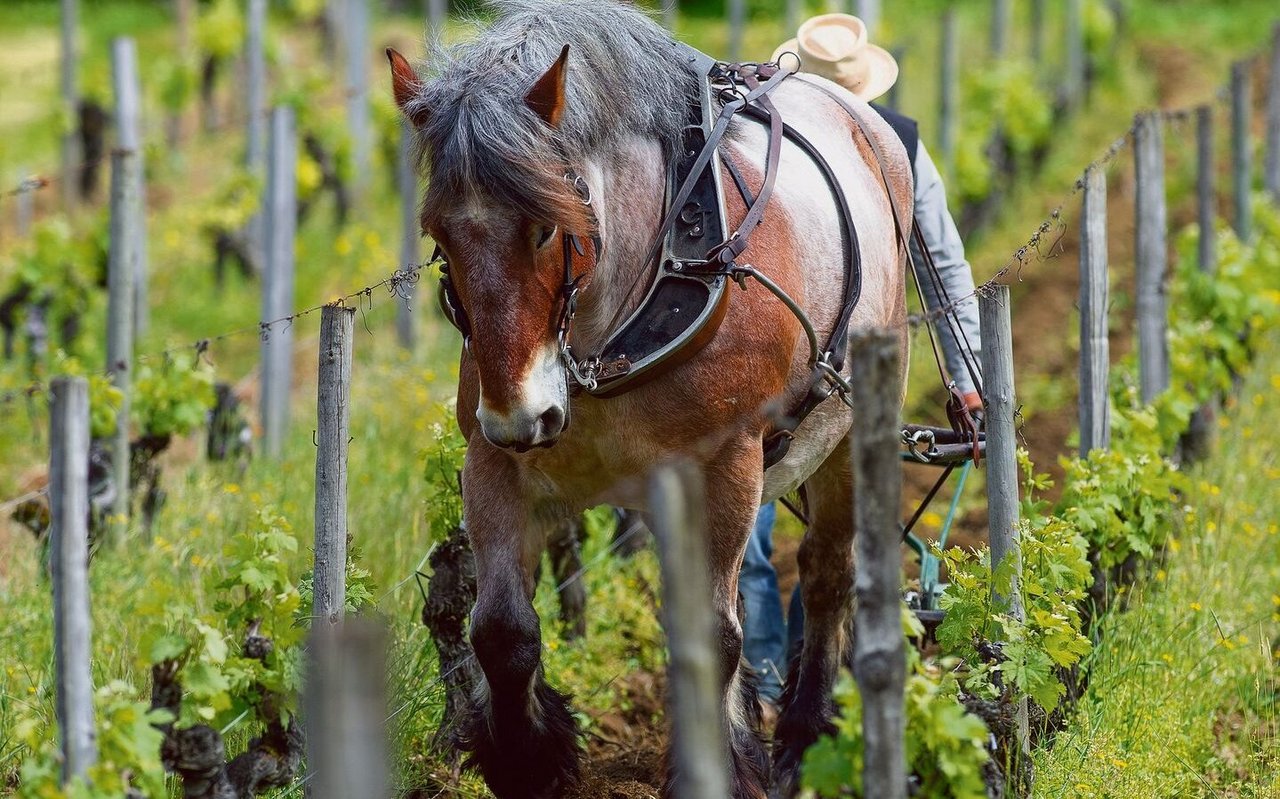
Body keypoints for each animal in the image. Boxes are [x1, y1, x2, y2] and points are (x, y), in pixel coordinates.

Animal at [386, 1, 911, 799]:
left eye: (547, 227)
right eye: (439, 234)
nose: (523, 416)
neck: (608, 338)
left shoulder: (724, 462)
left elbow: (713, 633)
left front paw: (718, 768)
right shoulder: (493, 461)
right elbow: (501, 630)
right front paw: (529, 760)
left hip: (849, 428)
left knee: (826, 574)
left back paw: (802, 738)